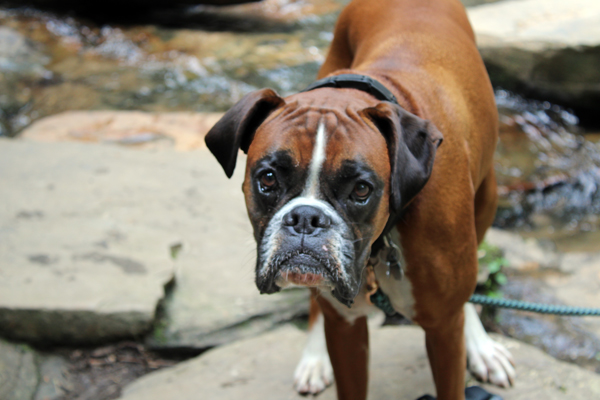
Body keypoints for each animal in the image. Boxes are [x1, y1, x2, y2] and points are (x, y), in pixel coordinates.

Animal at [206, 0, 516, 398]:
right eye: (268, 178)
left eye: (362, 189)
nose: (305, 218)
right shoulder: (347, 329)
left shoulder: (443, 329)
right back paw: (314, 357)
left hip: (488, 199)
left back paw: (481, 345)